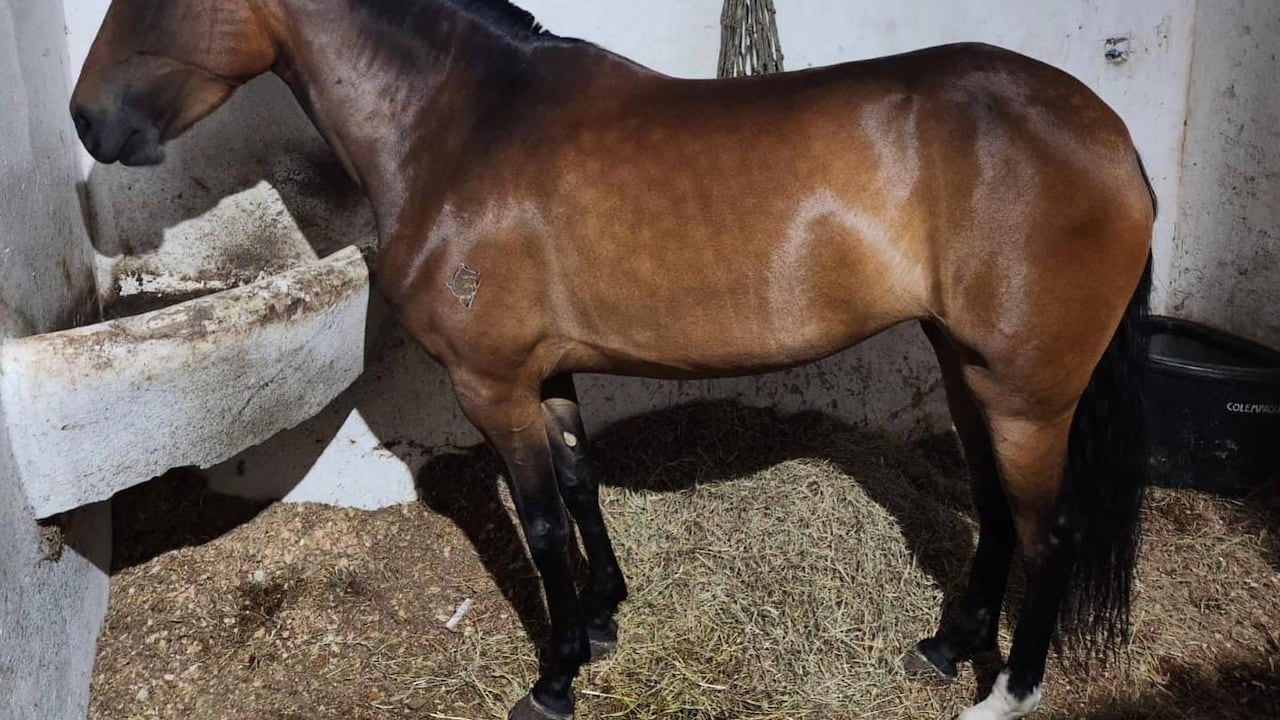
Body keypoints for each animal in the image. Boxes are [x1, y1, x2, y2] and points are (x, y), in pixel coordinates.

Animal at [71, 2, 1155, 718]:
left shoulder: (491, 385)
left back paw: (1007, 692)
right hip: (970, 371)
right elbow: (581, 487)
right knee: (994, 511)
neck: (460, 125)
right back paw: (946, 644)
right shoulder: (544, 376)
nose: (86, 120)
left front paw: (554, 679)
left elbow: (543, 523)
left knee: (1049, 529)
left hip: (1026, 394)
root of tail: (1106, 133)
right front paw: (601, 620)